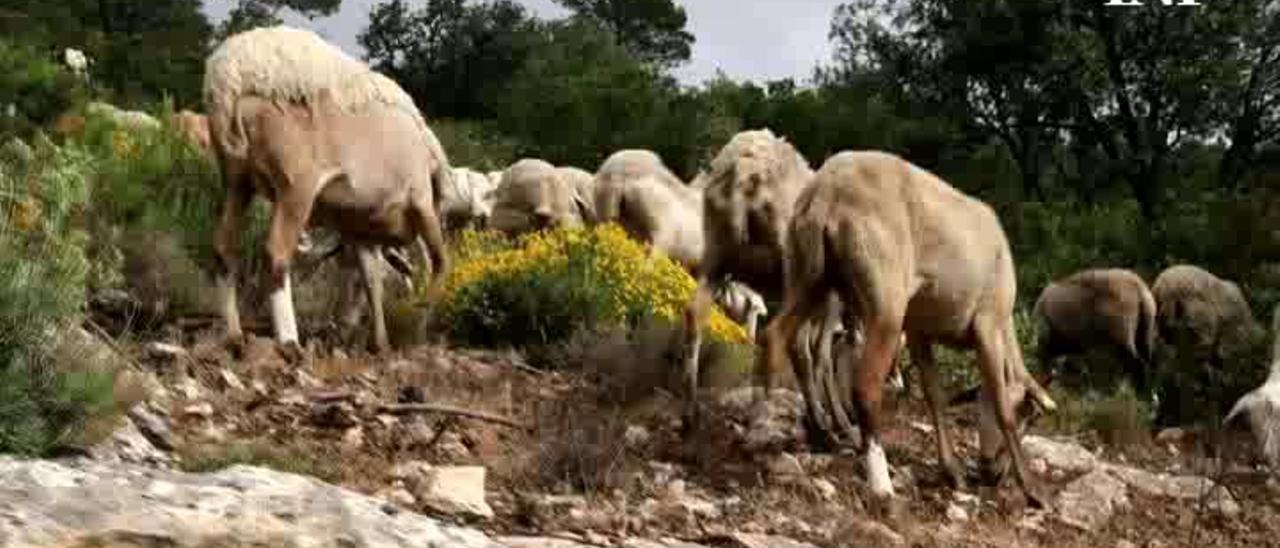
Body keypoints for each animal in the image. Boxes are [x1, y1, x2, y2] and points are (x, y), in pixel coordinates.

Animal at [203, 25, 450, 358]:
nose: (343, 324)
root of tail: (229, 78)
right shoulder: (420, 199)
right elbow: (440, 262)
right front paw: (418, 326)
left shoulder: (359, 230)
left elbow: (372, 278)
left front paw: (380, 342)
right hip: (297, 185)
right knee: (275, 253)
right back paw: (289, 341)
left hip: (236, 180)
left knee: (224, 249)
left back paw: (234, 335)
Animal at [762, 149, 1054, 504]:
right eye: (1031, 417)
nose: (993, 475)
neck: (1007, 329)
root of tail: (826, 189)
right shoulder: (987, 324)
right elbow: (1001, 407)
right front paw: (1033, 490)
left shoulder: (918, 330)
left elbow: (935, 398)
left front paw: (952, 472)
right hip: (885, 295)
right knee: (864, 385)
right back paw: (880, 480)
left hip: (807, 271)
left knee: (776, 338)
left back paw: (781, 426)